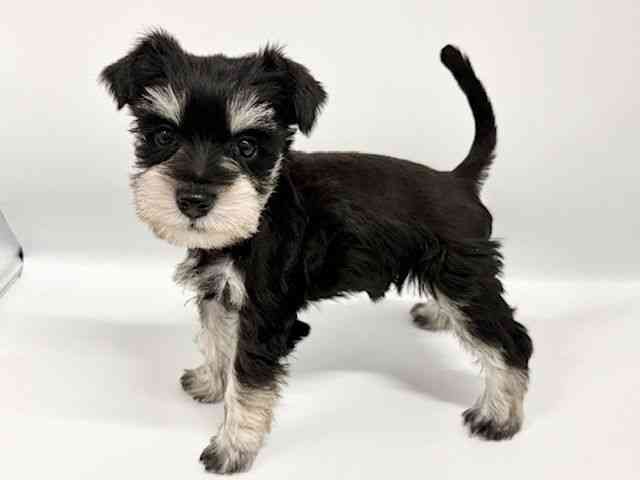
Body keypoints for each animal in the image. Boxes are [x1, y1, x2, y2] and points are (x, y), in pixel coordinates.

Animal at [101, 30, 533, 474]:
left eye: (246, 146)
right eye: (164, 137)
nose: (193, 200)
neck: (261, 211)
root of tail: (458, 181)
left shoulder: (265, 316)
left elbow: (247, 379)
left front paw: (233, 446)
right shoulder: (218, 292)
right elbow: (216, 338)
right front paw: (210, 381)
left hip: (463, 277)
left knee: (511, 342)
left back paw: (499, 415)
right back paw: (437, 314)